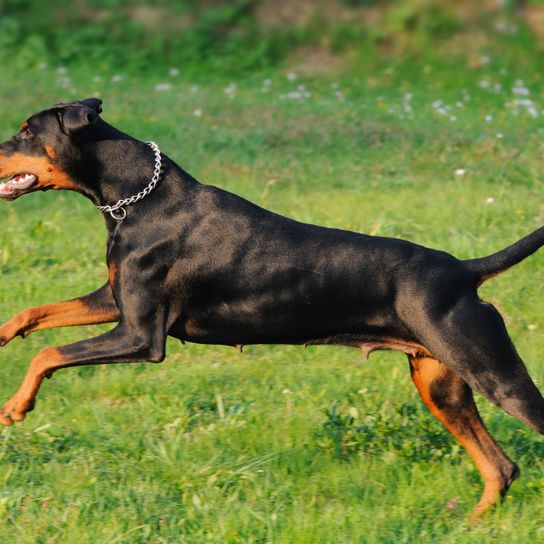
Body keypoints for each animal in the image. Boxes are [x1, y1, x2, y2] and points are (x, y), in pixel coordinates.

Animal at [1, 98, 544, 520]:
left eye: (27, 132)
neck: (136, 199)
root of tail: (465, 272)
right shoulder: (113, 302)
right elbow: (34, 314)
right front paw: (5, 340)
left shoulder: (140, 336)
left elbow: (48, 353)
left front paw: (15, 407)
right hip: (439, 385)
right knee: (501, 467)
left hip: (494, 374)